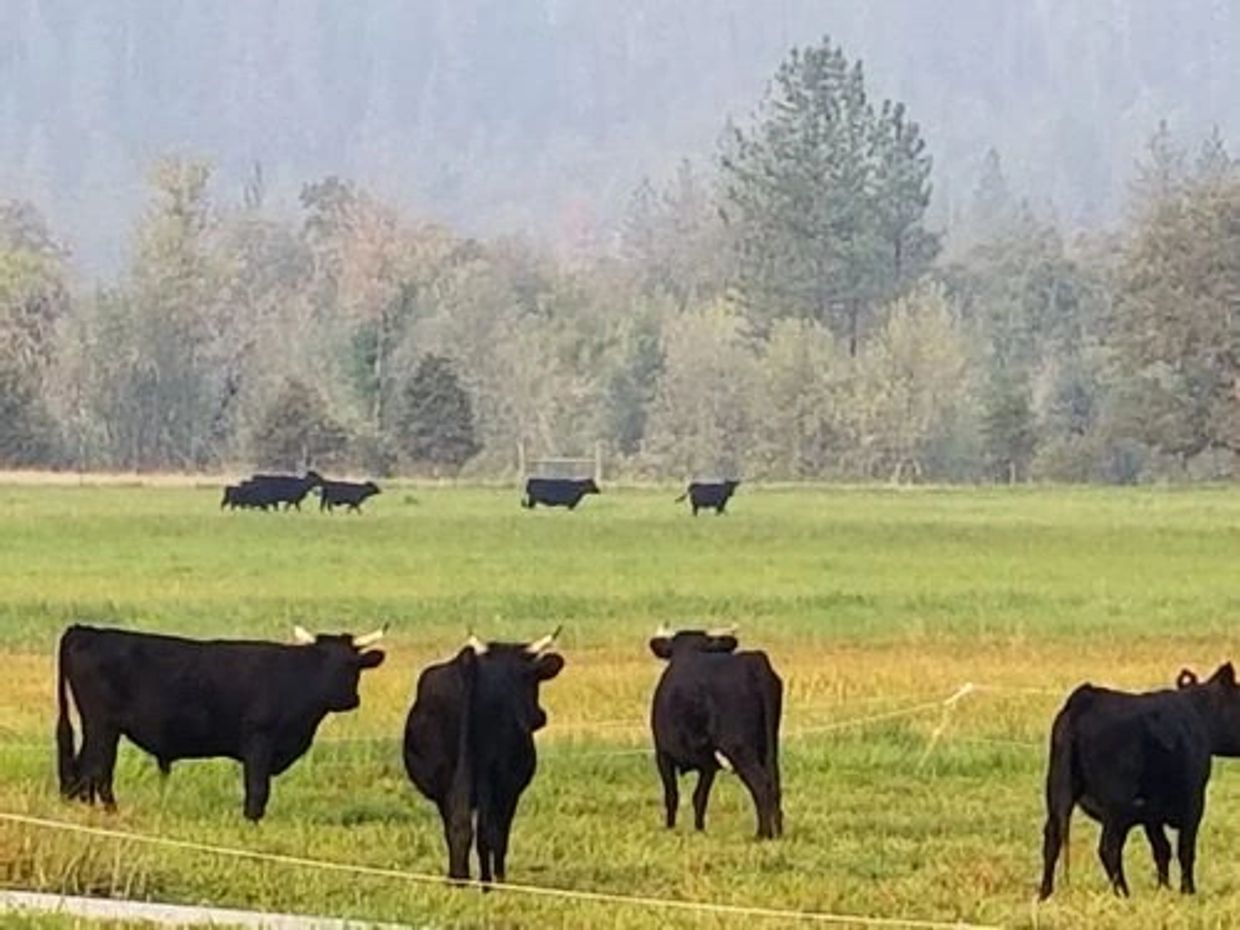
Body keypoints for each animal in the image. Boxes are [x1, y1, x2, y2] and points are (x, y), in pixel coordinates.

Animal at [55, 627, 384, 823]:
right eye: (323, 662)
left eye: (353, 665)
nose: (349, 700)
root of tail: (85, 630)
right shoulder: (259, 742)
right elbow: (257, 788)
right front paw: (251, 822)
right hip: (103, 726)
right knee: (97, 769)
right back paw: (110, 812)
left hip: (98, 727)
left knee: (86, 769)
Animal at [404, 629, 565, 882]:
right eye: (532, 680)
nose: (541, 716)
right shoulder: (510, 792)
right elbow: (499, 835)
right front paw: (500, 876)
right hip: (492, 783)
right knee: (486, 833)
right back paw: (488, 882)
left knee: (458, 829)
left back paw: (458, 878)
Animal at [649, 629, 783, 843]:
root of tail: (754, 660)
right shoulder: (708, 764)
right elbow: (700, 797)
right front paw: (699, 829)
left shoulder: (663, 754)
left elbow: (672, 795)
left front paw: (670, 828)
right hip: (770, 746)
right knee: (774, 783)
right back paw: (777, 833)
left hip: (740, 749)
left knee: (761, 784)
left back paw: (762, 834)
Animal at [1041, 659, 1240, 897]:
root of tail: (1085, 697)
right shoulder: (1194, 803)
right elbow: (1185, 849)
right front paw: (1188, 891)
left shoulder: (1152, 812)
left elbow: (1162, 849)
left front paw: (1164, 888)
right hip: (1116, 805)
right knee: (1109, 847)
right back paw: (1123, 893)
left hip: (1058, 792)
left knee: (1052, 838)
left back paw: (1044, 894)